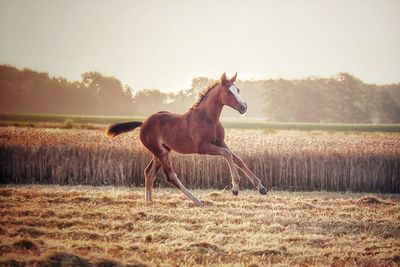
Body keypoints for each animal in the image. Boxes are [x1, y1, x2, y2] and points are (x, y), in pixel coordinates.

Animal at [108, 73, 268, 207]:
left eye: (238, 90)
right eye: (229, 92)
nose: (243, 107)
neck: (207, 119)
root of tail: (143, 123)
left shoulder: (220, 143)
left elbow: (238, 160)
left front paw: (261, 187)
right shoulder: (203, 148)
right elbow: (227, 155)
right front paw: (235, 188)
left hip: (161, 151)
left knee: (149, 172)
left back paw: (149, 201)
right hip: (160, 152)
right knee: (171, 176)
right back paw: (197, 201)